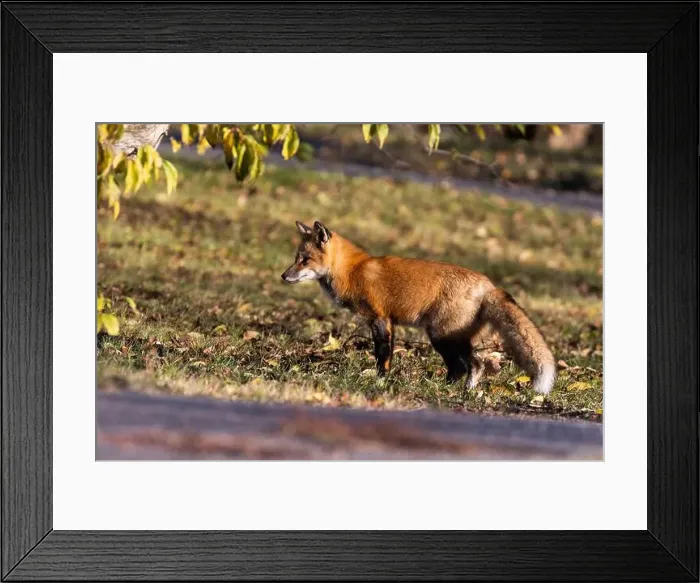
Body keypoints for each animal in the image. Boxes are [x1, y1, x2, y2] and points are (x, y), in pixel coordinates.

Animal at [281, 221, 556, 394]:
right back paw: (455, 390)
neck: (352, 271)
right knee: (468, 366)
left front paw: (380, 382)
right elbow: (386, 355)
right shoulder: (385, 321)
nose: (283, 276)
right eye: (296, 259)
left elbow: (383, 356)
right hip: (453, 338)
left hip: (442, 336)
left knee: (471, 365)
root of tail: (488, 285)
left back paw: (454, 390)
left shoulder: (380, 318)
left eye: (305, 260)